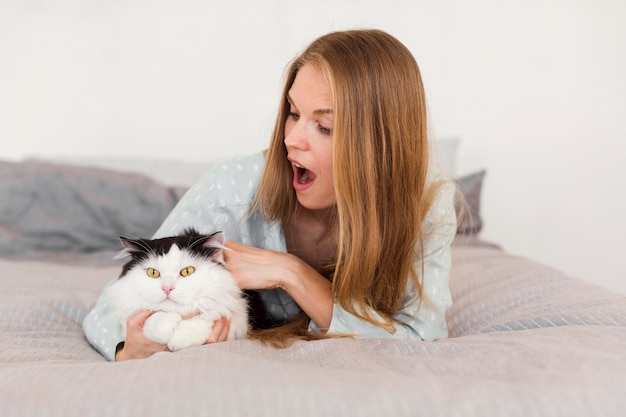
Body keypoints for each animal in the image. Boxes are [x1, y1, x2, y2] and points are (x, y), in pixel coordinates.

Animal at [102, 228, 249, 352]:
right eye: (153, 273)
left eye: (187, 271)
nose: (167, 288)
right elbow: (155, 315)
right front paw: (163, 326)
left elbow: (209, 314)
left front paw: (180, 338)